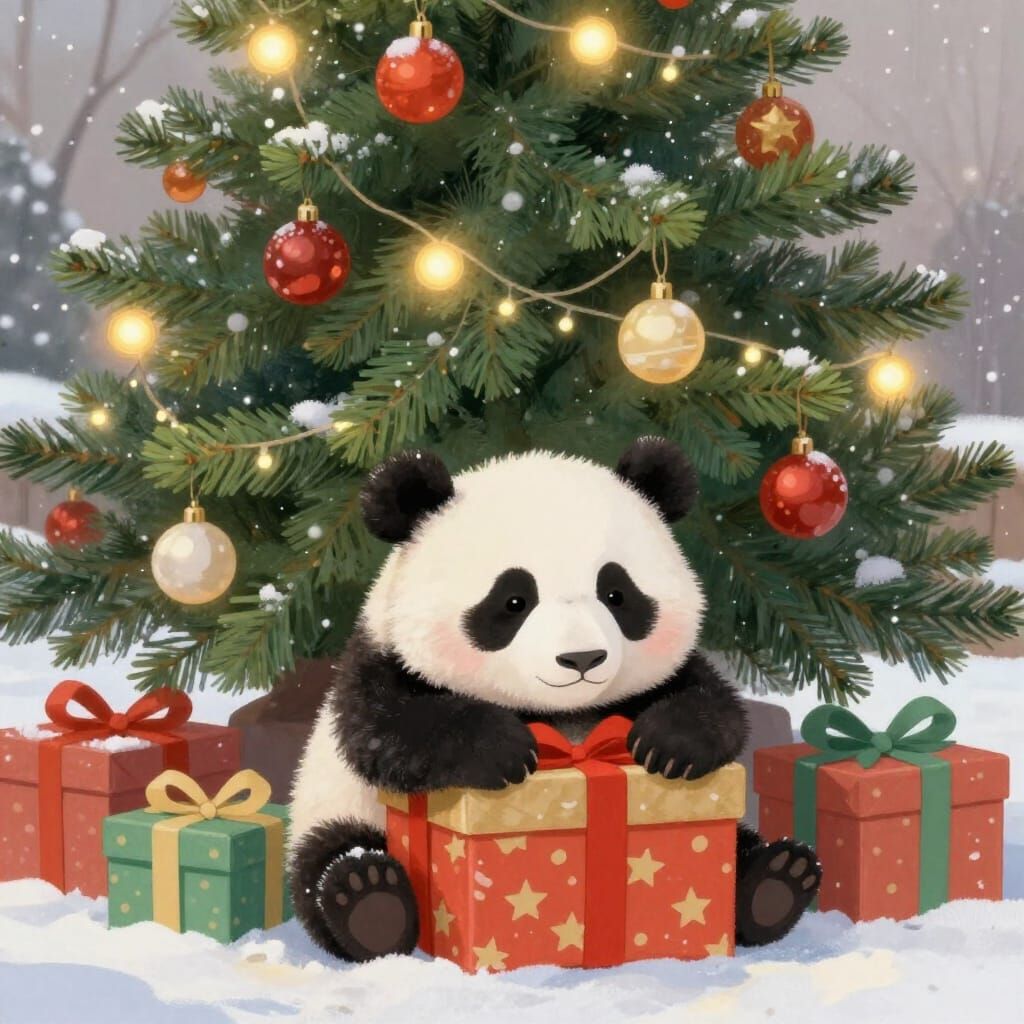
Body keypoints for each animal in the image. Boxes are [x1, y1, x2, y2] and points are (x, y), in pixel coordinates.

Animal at [288, 438, 821, 962]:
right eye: (513, 601)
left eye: (616, 593)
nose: (582, 657)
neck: (564, 714)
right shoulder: (381, 661)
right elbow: (387, 731)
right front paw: (502, 750)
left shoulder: (666, 677)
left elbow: (717, 706)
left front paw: (670, 744)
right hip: (336, 809)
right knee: (327, 859)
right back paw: (369, 900)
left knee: (746, 844)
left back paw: (777, 880)